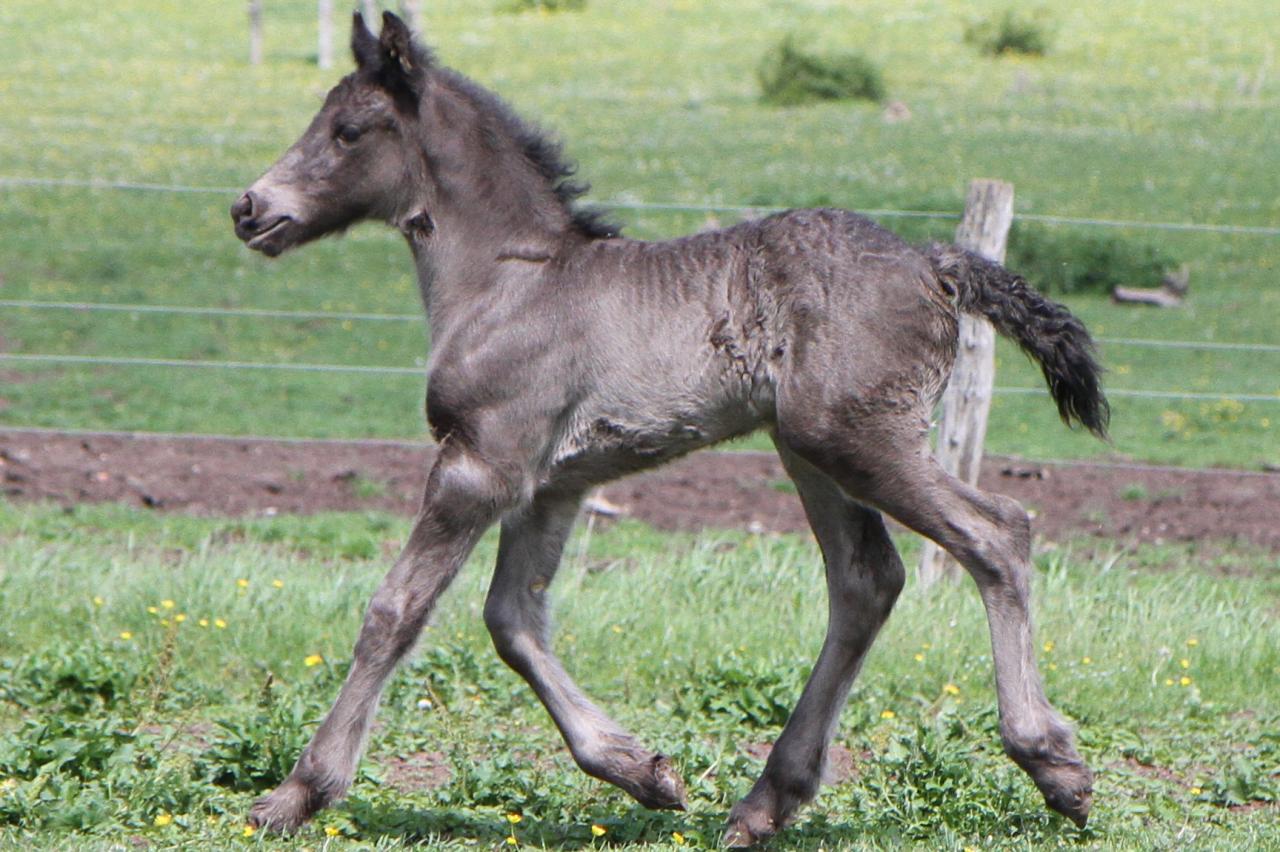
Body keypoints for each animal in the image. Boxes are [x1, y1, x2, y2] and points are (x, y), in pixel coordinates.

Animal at [232, 13, 1111, 844]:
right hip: (812, 450)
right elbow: (513, 621)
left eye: (349, 130)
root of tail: (937, 263)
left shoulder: (481, 465)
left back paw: (1054, 766)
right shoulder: (551, 486)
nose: (249, 208)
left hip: (863, 441)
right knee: (867, 579)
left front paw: (297, 793)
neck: (511, 282)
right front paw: (641, 772)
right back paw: (766, 802)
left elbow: (395, 610)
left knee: (998, 531)